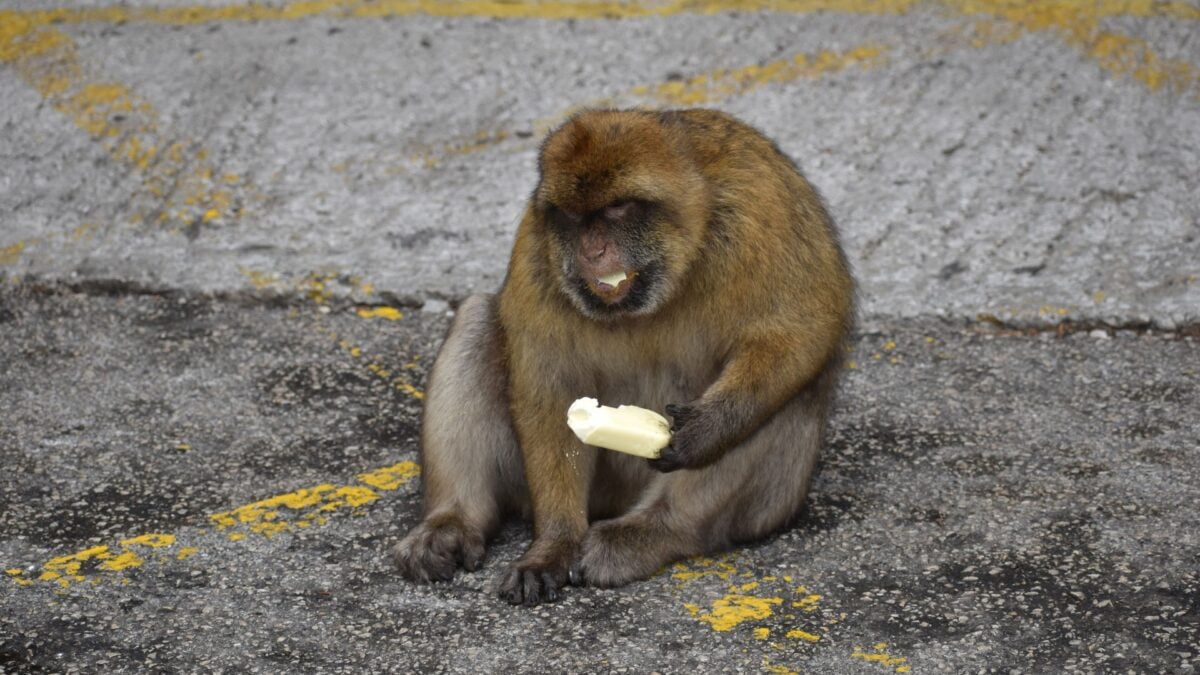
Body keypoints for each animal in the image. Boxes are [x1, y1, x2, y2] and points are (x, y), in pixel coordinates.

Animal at [392, 108, 855, 606]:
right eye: (573, 217)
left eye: (617, 209)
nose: (591, 251)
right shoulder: (537, 249)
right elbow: (552, 390)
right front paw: (554, 543)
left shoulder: (762, 211)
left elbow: (800, 330)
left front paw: (707, 429)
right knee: (477, 316)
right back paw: (453, 521)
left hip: (774, 501)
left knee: (786, 391)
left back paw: (654, 532)